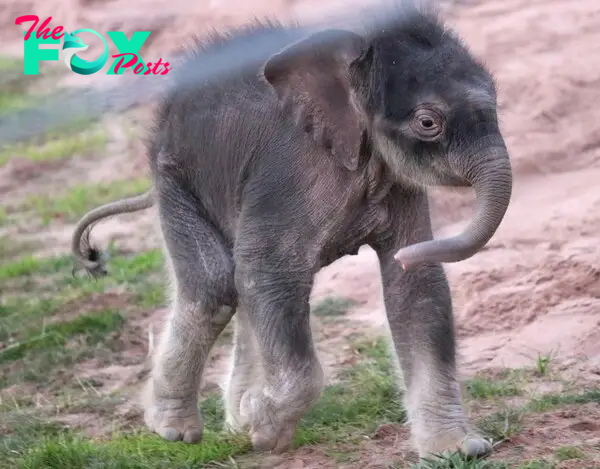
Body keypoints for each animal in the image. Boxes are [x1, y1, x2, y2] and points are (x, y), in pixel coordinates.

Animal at [70, 0, 510, 460]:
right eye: (428, 123)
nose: (412, 254)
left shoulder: (397, 183)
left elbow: (416, 289)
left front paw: (460, 451)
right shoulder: (291, 174)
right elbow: (269, 272)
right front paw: (263, 430)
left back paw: (235, 418)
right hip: (175, 177)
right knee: (214, 287)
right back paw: (175, 430)